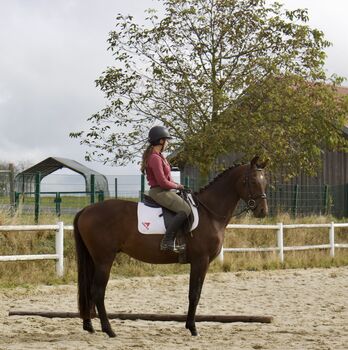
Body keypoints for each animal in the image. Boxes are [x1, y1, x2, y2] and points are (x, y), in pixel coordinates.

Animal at [74, 155, 270, 336]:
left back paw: (89, 326)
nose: (263, 211)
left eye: (265, 181)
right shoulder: (200, 261)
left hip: (95, 259)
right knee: (98, 292)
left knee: (89, 291)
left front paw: (190, 326)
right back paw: (109, 330)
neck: (210, 213)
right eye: (253, 181)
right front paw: (193, 328)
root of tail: (86, 209)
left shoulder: (201, 262)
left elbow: (195, 293)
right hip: (104, 260)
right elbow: (194, 294)